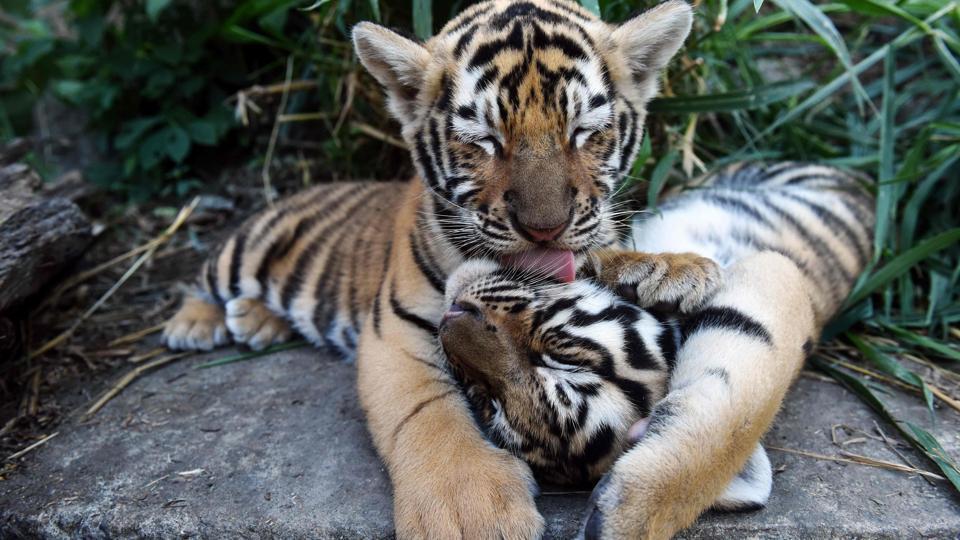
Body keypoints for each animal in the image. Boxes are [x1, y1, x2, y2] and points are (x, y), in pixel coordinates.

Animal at [437, 162, 874, 536]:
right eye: (487, 402)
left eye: (559, 357)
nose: (450, 320)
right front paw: (666, 272)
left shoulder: (779, 279)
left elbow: (735, 419)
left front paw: (628, 517)